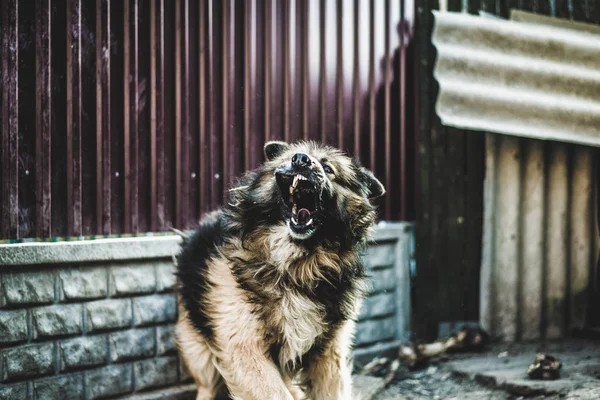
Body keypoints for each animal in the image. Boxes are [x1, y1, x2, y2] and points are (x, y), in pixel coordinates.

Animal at [176, 141, 386, 400]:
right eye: (289, 158)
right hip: (199, 352)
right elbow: (275, 393)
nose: (301, 159)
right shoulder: (244, 346)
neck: (298, 266)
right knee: (206, 386)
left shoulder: (329, 352)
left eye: (328, 168)